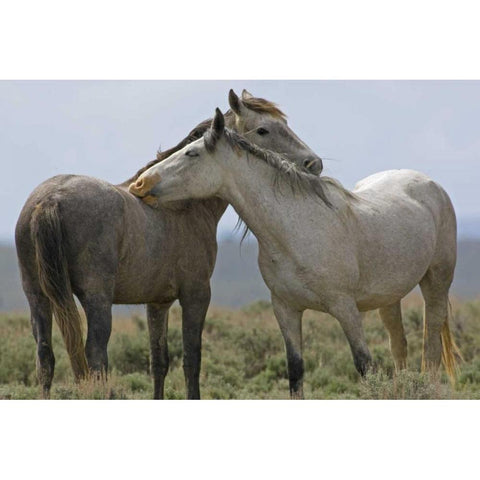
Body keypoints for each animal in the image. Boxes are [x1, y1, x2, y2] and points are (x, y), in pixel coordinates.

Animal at [15, 89, 322, 398]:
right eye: (263, 129)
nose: (314, 164)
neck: (182, 203)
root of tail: (51, 198)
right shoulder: (196, 295)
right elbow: (191, 360)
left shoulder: (157, 303)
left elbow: (159, 362)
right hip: (96, 299)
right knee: (95, 355)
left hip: (37, 297)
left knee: (45, 356)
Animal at [129, 110, 460, 400]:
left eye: (192, 154)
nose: (140, 184)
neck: (296, 230)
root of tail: (431, 185)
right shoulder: (286, 309)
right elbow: (296, 371)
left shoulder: (345, 308)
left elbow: (365, 366)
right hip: (388, 298)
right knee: (399, 346)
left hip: (435, 283)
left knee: (430, 349)